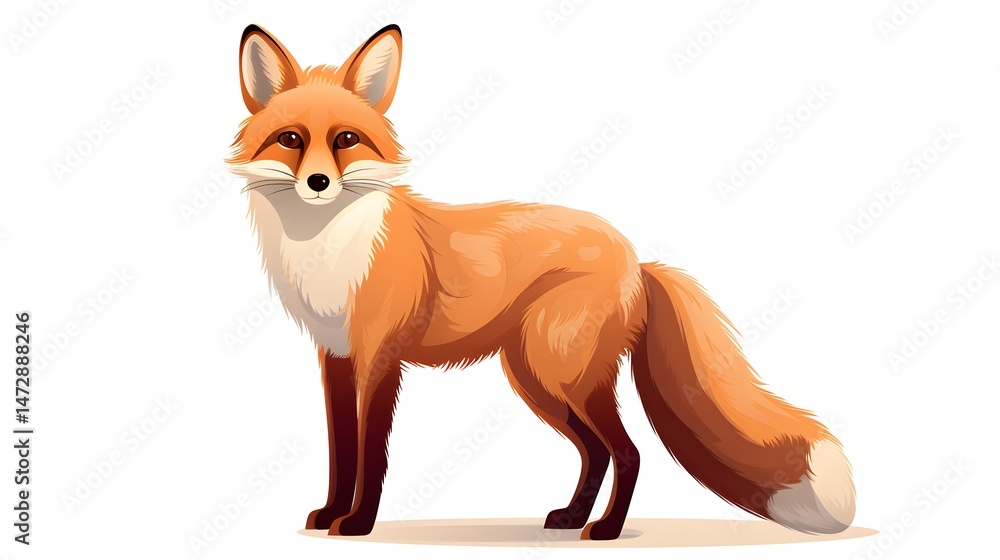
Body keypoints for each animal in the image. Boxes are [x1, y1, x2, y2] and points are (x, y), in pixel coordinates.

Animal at [226, 24, 856, 540]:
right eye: (290, 139)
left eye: (346, 140)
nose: (317, 182)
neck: (330, 247)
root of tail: (637, 259)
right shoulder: (334, 357)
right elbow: (342, 452)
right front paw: (331, 514)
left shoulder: (379, 358)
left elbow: (371, 455)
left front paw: (358, 524)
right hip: (537, 379)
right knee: (596, 453)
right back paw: (572, 518)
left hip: (561, 374)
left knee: (629, 453)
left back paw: (605, 531)